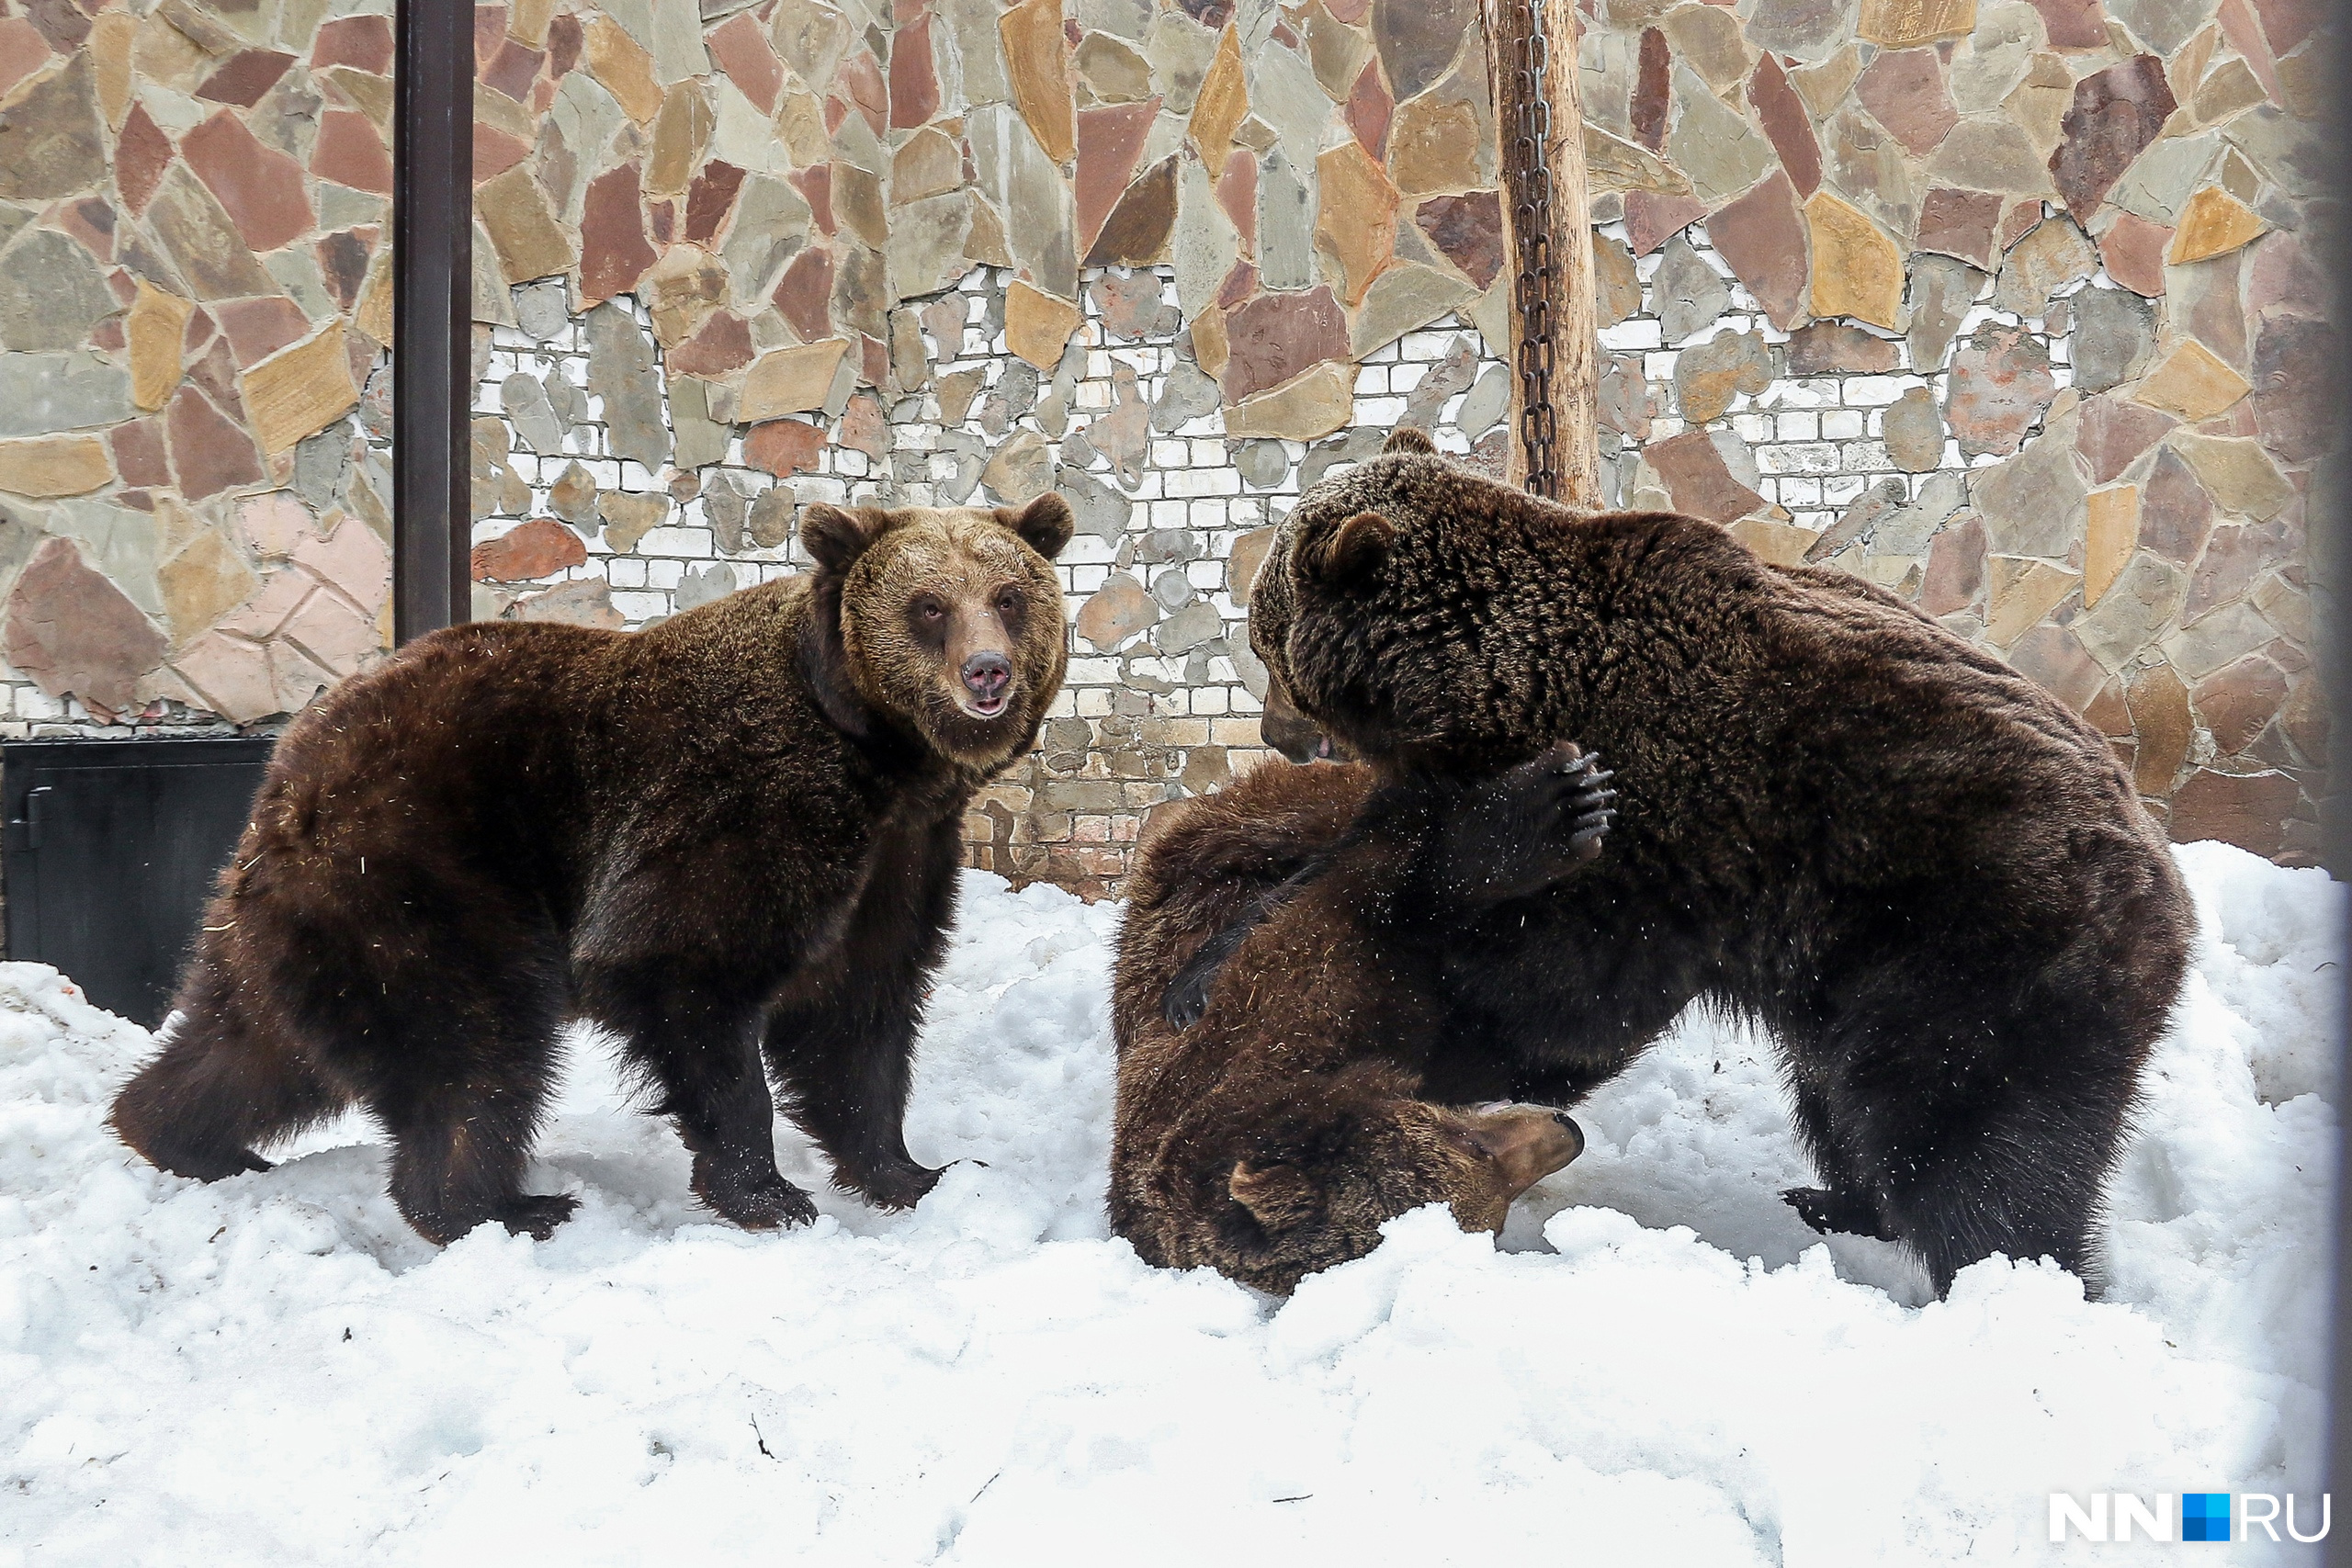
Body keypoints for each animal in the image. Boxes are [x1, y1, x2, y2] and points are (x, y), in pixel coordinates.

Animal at [106, 495, 1072, 1241]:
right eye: (929, 605)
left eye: (1010, 595)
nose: (987, 673)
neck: (879, 756)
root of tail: (289, 769)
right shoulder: (744, 807)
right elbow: (687, 970)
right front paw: (769, 1193)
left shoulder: (899, 855)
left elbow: (859, 1008)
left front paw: (917, 1170)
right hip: (427, 873)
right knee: (479, 1046)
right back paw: (497, 1206)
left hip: (297, 915)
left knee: (253, 1044)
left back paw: (185, 1137)